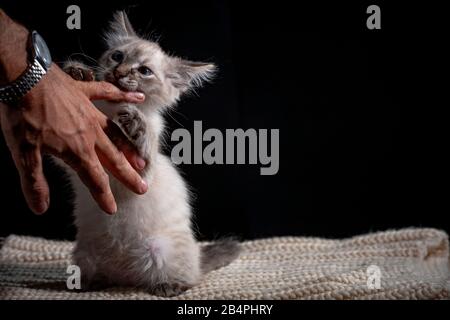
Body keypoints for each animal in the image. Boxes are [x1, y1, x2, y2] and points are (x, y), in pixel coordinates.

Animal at [62, 11, 243, 296]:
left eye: (144, 71)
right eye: (117, 57)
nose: (119, 72)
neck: (110, 111)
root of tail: (123, 277)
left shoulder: (140, 171)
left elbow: (144, 139)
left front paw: (135, 121)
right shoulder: (76, 159)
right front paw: (78, 72)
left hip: (159, 249)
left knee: (187, 278)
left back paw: (167, 286)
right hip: (84, 254)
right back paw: (90, 283)